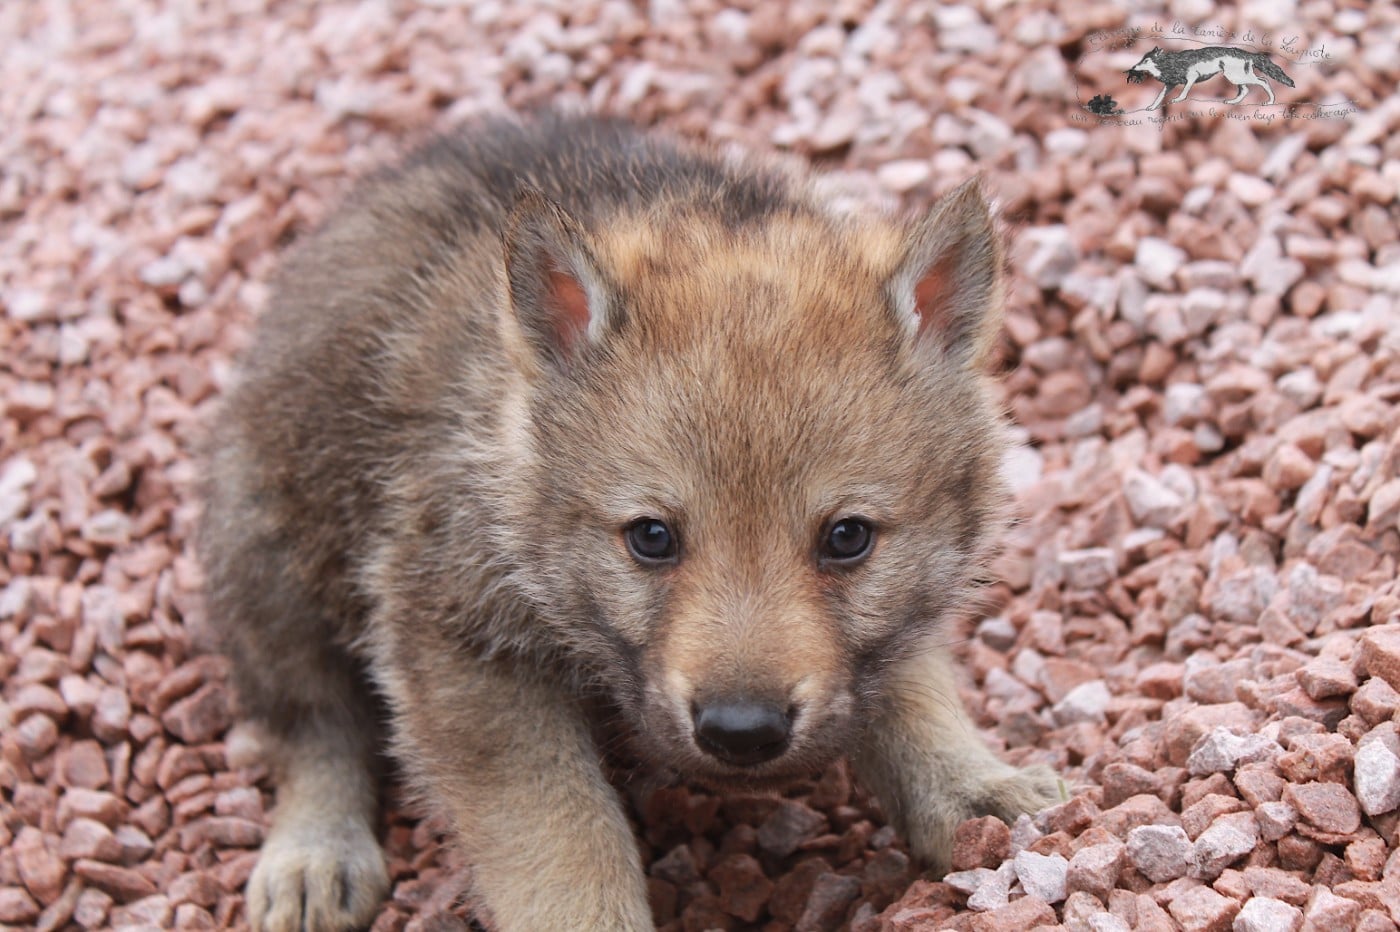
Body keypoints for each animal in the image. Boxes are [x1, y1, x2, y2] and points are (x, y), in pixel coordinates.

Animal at [198, 112, 1062, 931]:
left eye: (847, 538)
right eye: (652, 538)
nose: (741, 732)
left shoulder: (901, 617)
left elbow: (912, 694)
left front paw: (977, 788)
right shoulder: (458, 643)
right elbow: (562, 833)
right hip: (267, 569)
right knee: (313, 728)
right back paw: (314, 857)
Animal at [1126, 46, 1296, 110]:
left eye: (1145, 61)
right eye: (1141, 59)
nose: (1133, 68)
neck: (1169, 63)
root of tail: (1249, 54)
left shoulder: (1192, 77)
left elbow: (1184, 92)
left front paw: (1178, 99)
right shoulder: (1170, 84)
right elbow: (1160, 96)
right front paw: (1152, 107)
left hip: (1237, 77)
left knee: (1263, 81)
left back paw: (1270, 101)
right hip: (1235, 78)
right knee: (1245, 90)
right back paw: (1232, 102)